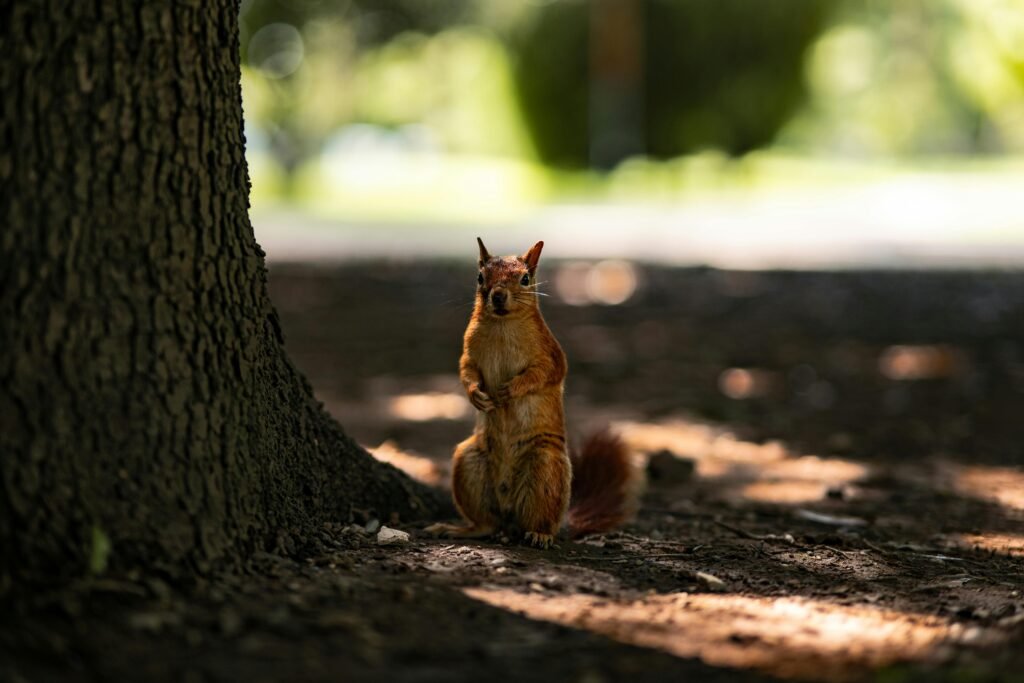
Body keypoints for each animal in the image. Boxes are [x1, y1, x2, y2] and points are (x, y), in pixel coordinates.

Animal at [425, 238, 642, 548]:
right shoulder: (469, 353)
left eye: (525, 279)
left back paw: (540, 534)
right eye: (480, 277)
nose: (498, 296)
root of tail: (509, 516)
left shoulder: (550, 354)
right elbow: (466, 371)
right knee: (487, 524)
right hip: (468, 464)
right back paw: (462, 529)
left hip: (545, 468)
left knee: (541, 519)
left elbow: (542, 374)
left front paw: (512, 388)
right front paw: (476, 395)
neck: (502, 325)